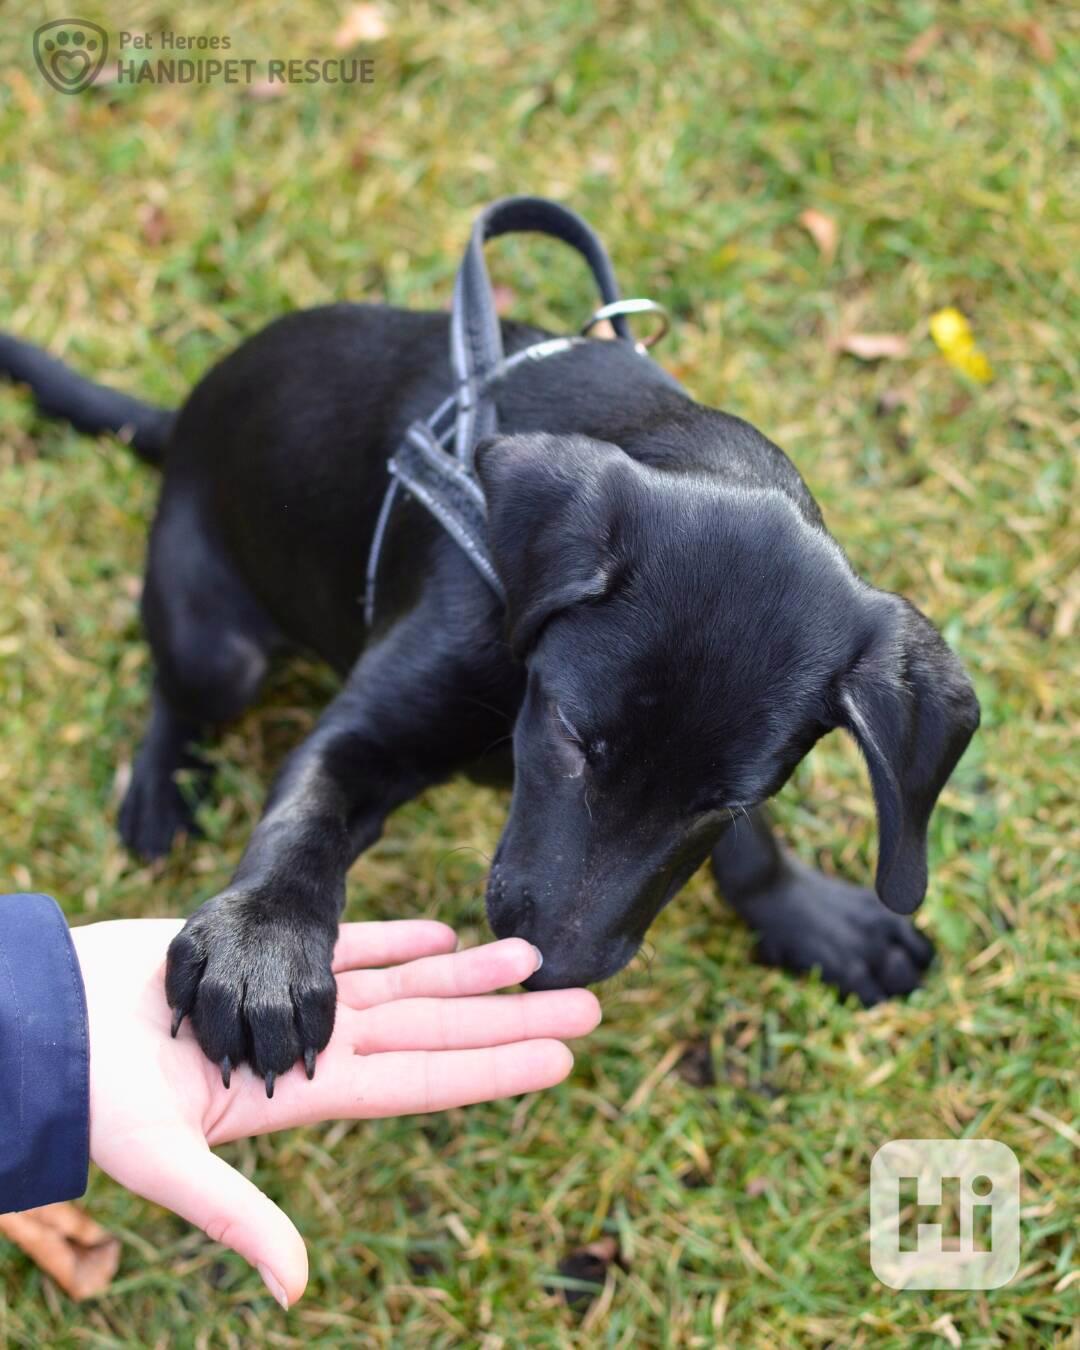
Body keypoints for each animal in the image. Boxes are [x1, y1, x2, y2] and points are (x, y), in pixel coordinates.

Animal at [0, 279, 977, 1090]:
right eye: (575, 740)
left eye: (721, 804)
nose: (553, 969)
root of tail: (187, 412)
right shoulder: (369, 730)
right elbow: (305, 819)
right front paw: (262, 949)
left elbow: (753, 852)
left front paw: (815, 919)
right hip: (219, 646)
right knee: (177, 688)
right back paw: (159, 787)